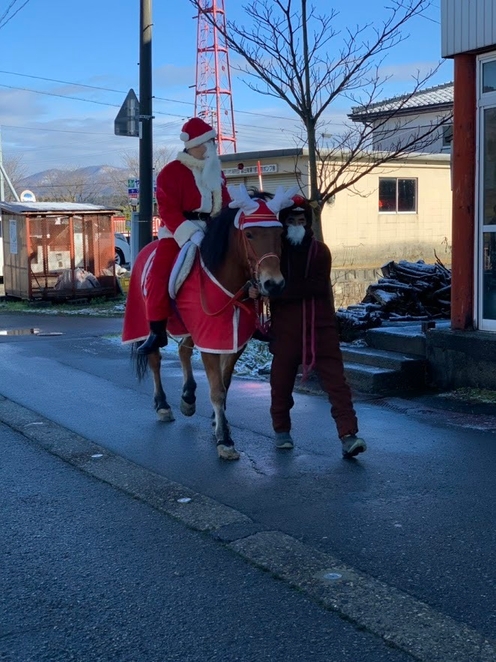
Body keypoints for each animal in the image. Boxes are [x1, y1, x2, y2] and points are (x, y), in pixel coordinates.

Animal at [124, 191, 288, 462]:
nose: (273, 284)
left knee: (183, 350)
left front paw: (218, 421)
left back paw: (188, 397)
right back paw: (163, 405)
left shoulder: (233, 341)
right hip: (147, 324)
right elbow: (217, 389)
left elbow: (225, 383)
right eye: (250, 234)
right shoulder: (211, 339)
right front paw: (224, 439)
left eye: (280, 233)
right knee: (155, 358)